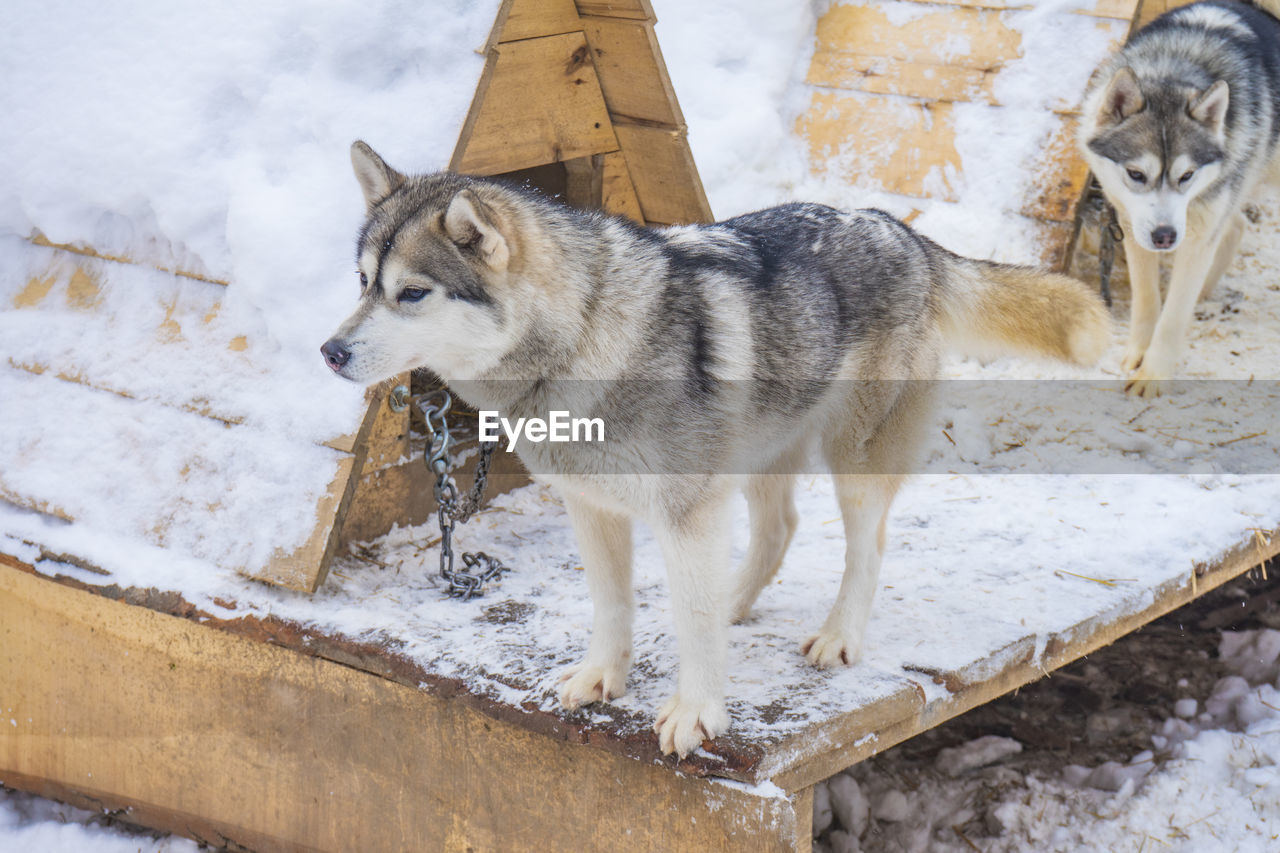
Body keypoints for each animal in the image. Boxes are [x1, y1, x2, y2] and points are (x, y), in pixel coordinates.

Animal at [322, 140, 1111, 758]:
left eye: (412, 293)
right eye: (362, 283)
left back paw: (838, 635)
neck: (582, 340)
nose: (330, 351)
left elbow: (695, 632)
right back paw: (735, 596)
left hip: (852, 459)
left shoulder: (686, 512)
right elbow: (613, 605)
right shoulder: (593, 508)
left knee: (866, 547)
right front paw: (602, 676)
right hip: (760, 452)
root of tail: (899, 230)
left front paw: (695, 714)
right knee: (776, 531)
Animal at [1080, 0, 1280, 399]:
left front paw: (1153, 376)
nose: (1165, 237)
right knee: (1236, 225)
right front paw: (1137, 355)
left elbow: (1172, 317)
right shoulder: (1133, 228)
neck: (1175, 68)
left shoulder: (1196, 234)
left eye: (1186, 176)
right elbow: (1146, 301)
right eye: (1136, 174)